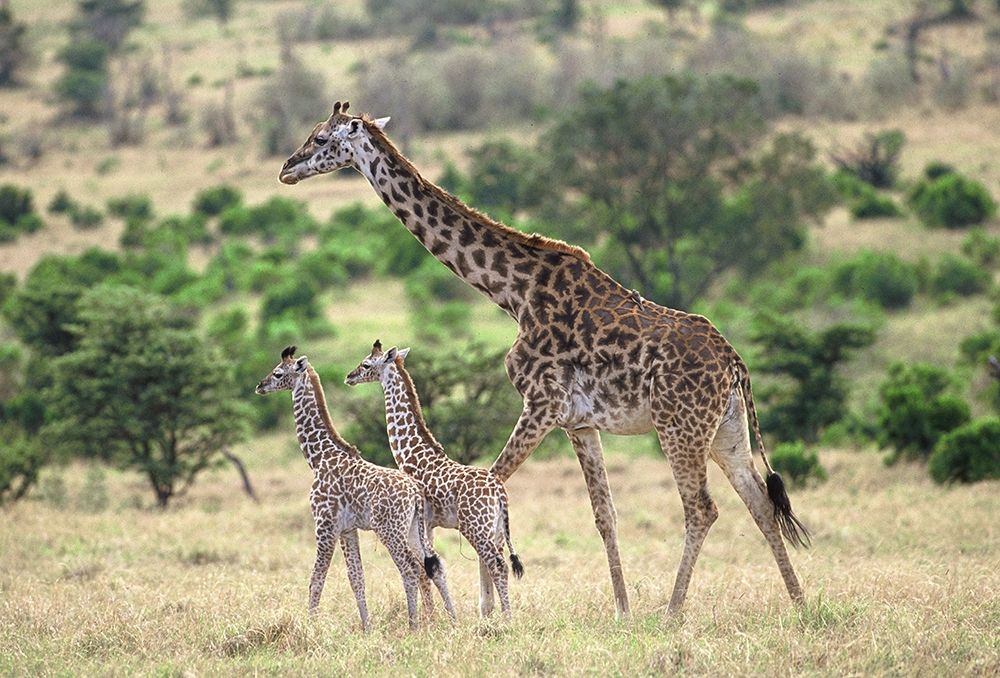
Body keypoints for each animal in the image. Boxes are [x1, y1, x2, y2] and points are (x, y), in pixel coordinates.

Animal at [255, 345, 457, 630]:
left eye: (278, 373)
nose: (260, 386)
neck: (319, 458)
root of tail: (416, 493)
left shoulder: (325, 524)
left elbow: (316, 578)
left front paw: (310, 625)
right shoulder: (348, 529)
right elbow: (356, 578)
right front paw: (367, 627)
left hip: (390, 530)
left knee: (410, 568)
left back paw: (414, 625)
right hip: (412, 529)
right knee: (434, 565)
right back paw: (453, 620)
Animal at [345, 340, 525, 618]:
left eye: (365, 364)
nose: (349, 377)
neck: (412, 454)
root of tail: (499, 490)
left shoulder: (423, 522)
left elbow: (423, 569)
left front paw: (429, 617)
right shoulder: (428, 525)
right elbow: (428, 567)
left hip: (476, 528)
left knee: (497, 565)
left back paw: (507, 619)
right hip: (495, 529)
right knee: (498, 563)